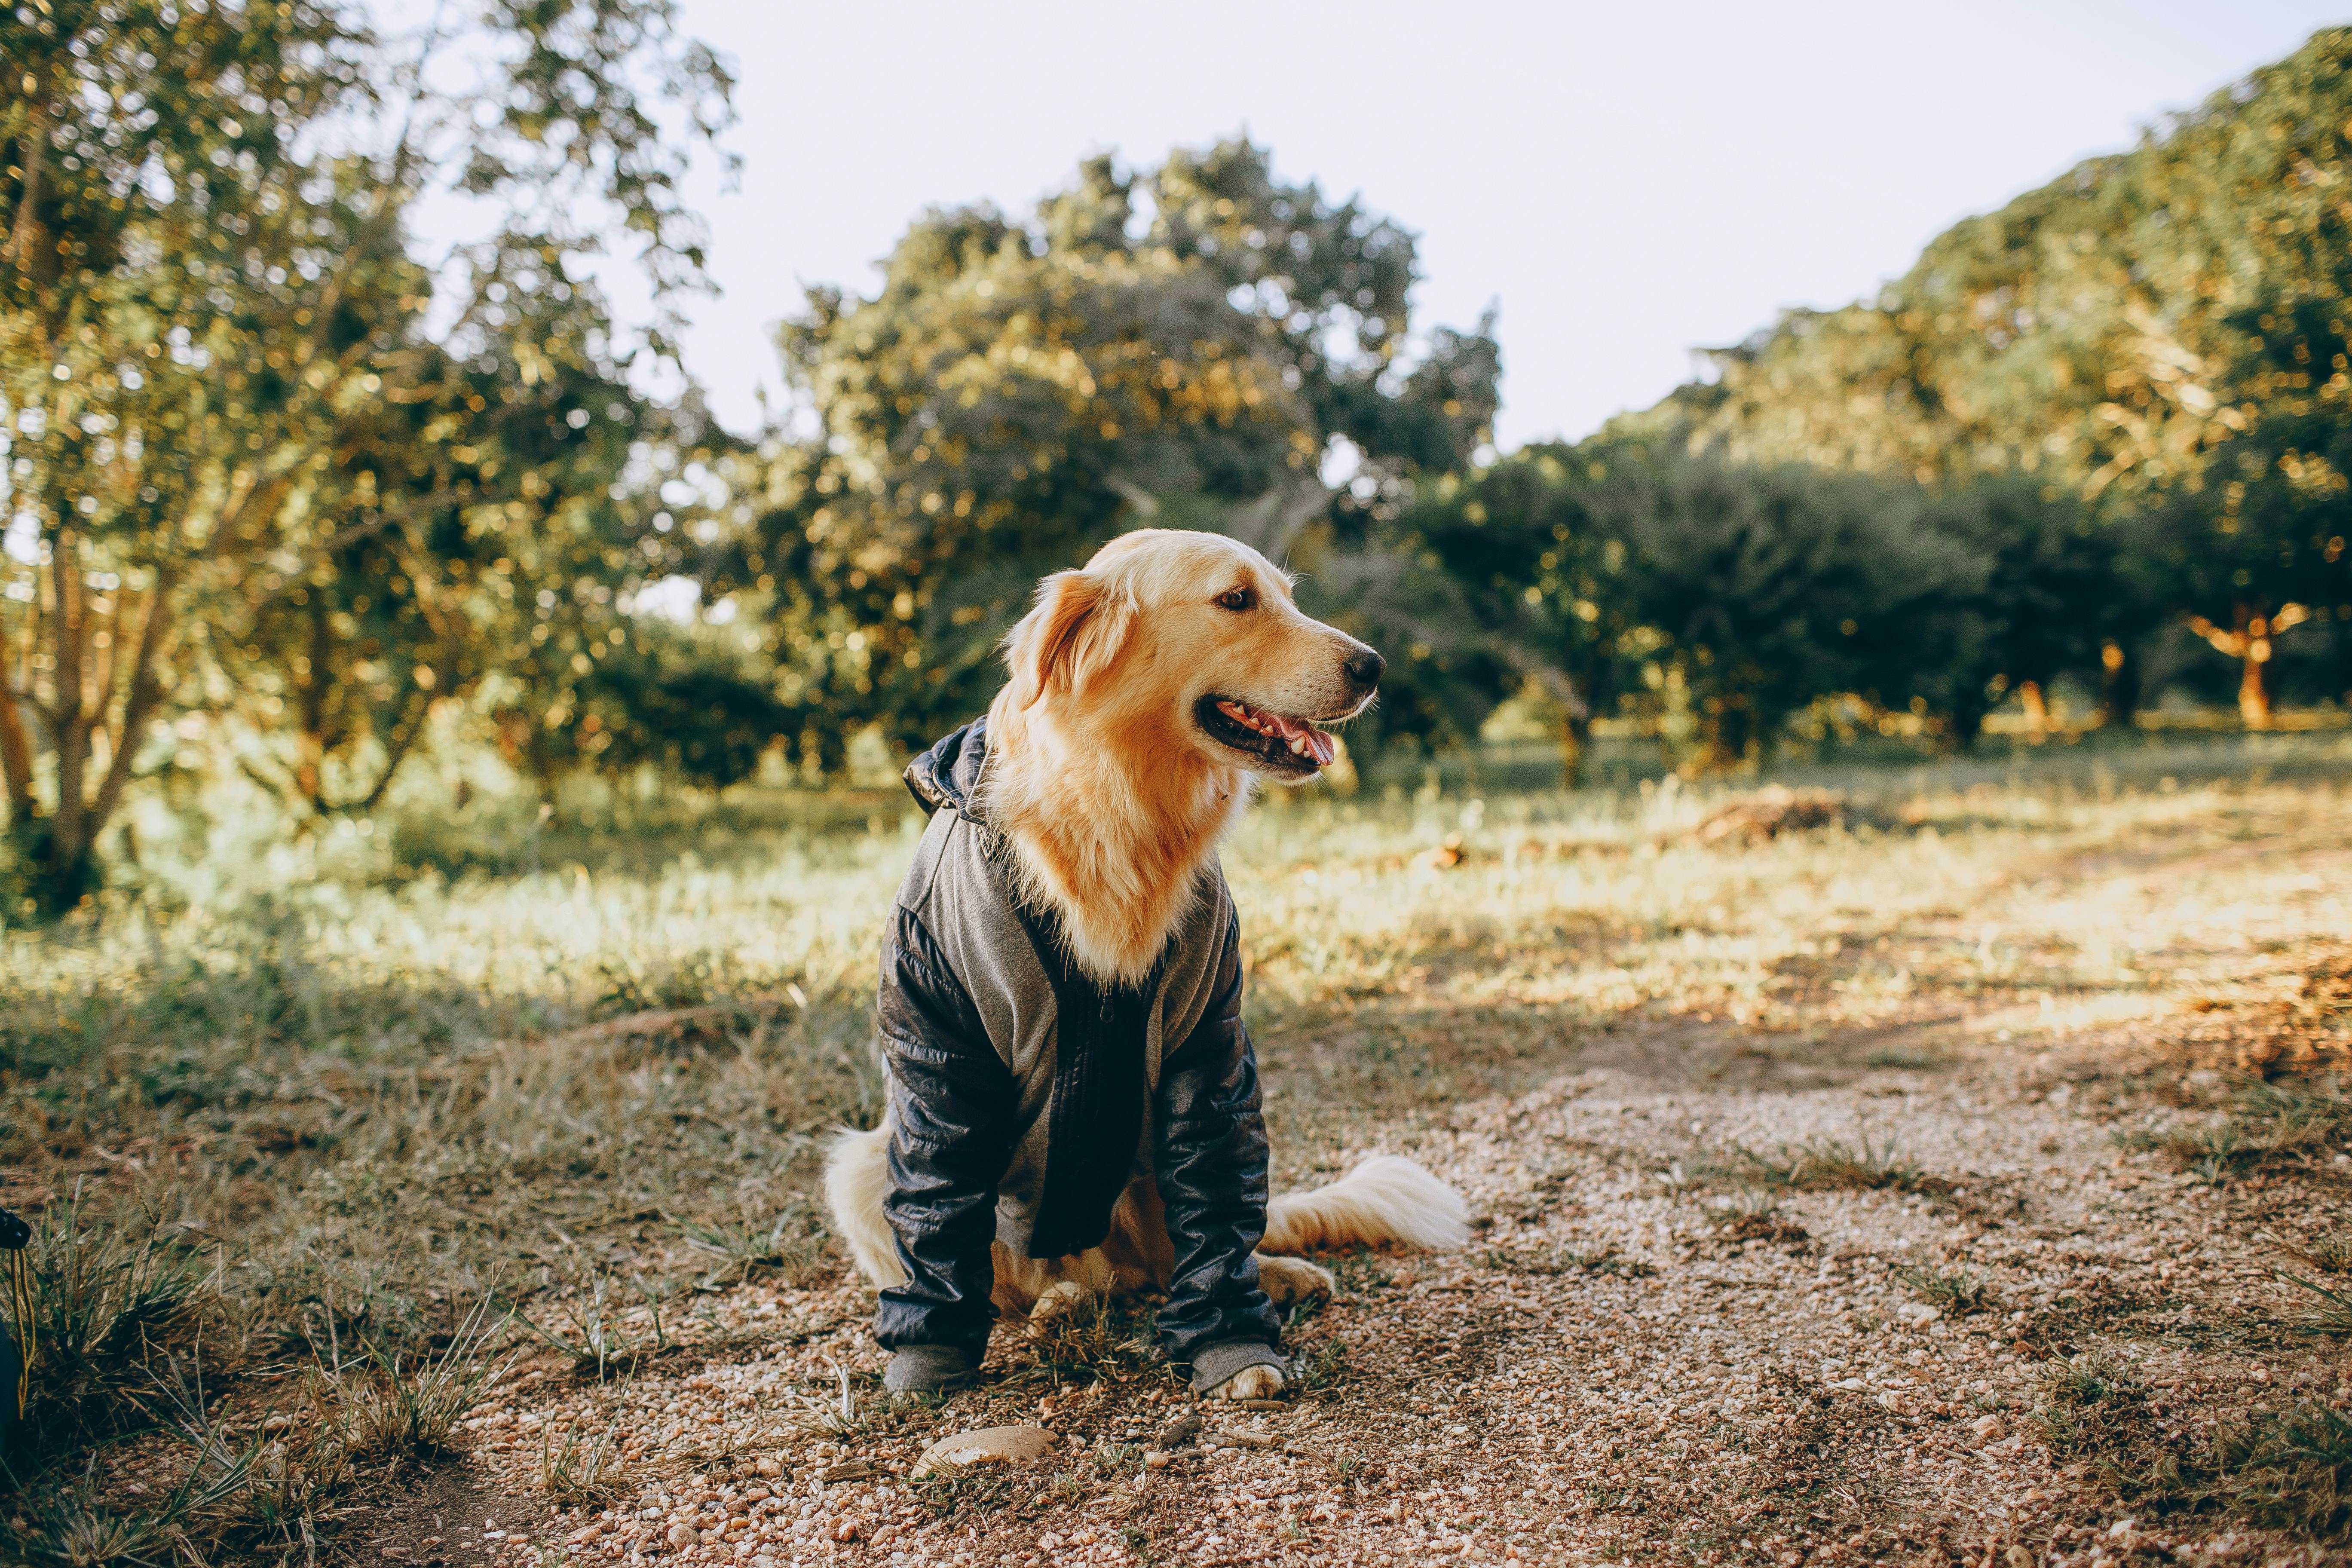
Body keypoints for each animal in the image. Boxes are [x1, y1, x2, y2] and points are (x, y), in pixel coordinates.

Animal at [818, 527, 1458, 1401]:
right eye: (1236, 599)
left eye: (1285, 595)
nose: (1374, 666)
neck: (1123, 809)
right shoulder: (938, 1034)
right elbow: (941, 1210)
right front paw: (930, 1351)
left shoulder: (1209, 1039)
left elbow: (1213, 1216)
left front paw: (1234, 1345)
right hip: (859, 1164)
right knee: (1027, 1282)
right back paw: (1053, 1304)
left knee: (1162, 1263)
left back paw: (1266, 1273)